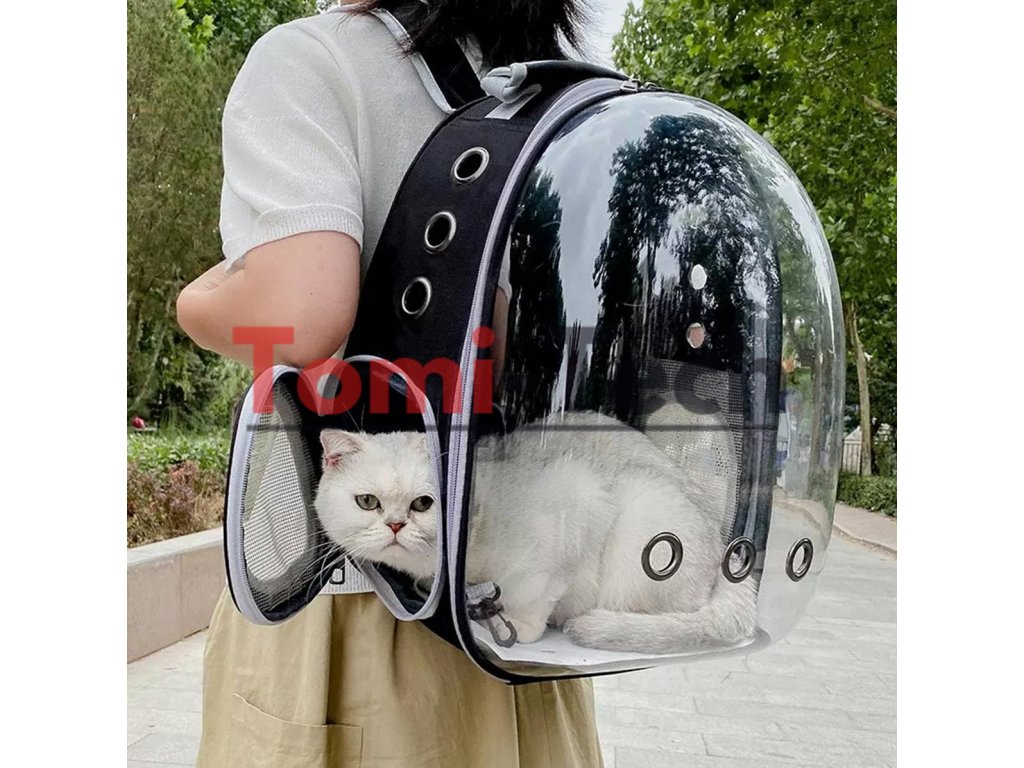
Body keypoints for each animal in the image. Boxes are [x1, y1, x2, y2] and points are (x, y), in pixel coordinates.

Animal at [313, 412, 756, 654]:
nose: (394, 525)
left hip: (643, 510)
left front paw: (513, 627)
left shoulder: (577, 503)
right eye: (368, 502)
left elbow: (534, 600)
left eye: (423, 504)